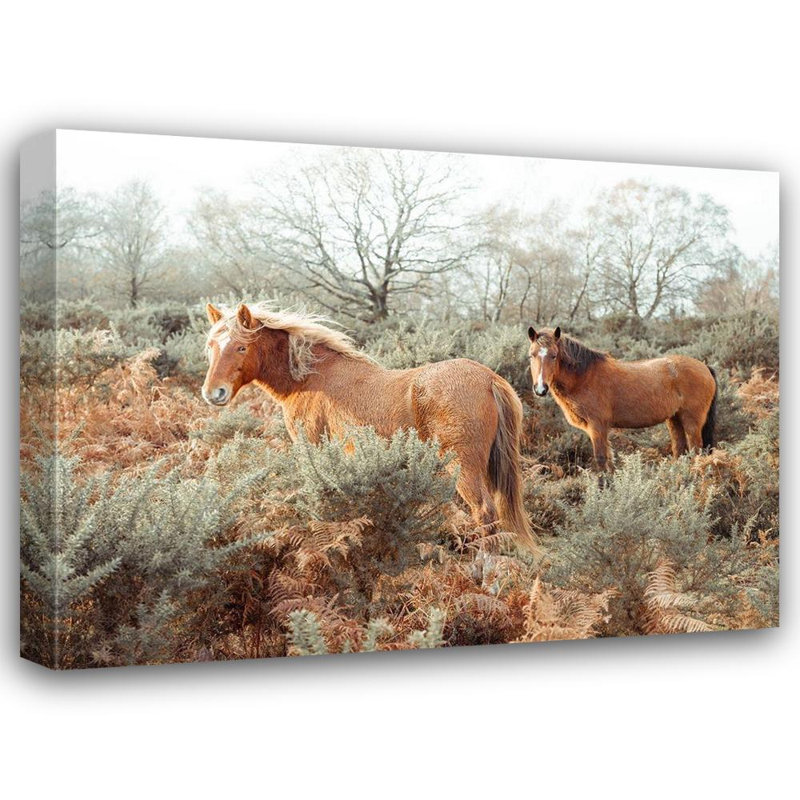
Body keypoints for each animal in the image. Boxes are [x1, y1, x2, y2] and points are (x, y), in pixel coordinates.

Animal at [201, 301, 538, 551]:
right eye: (211, 346)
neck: (311, 377)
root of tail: (489, 379)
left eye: (241, 347)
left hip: (463, 467)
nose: (213, 393)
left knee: (484, 513)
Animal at [527, 326, 717, 471]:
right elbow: (609, 461)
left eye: (554, 355)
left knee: (696, 451)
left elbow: (601, 459)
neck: (584, 377)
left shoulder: (597, 427)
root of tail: (705, 367)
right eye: (531, 355)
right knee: (680, 450)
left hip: (691, 422)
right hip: (674, 420)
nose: (540, 389)